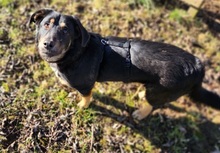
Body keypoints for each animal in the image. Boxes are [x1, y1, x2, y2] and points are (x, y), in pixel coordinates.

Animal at [28, 8, 220, 120]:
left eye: (66, 30)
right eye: (46, 24)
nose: (47, 44)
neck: (75, 52)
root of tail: (197, 64)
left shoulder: (85, 85)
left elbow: (86, 97)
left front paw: (82, 106)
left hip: (162, 91)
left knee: (153, 105)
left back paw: (140, 113)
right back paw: (142, 94)